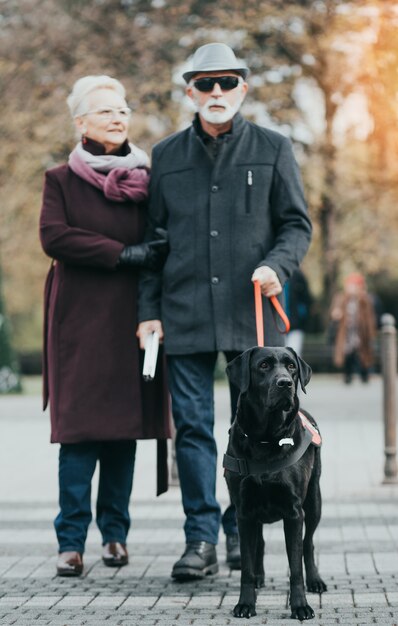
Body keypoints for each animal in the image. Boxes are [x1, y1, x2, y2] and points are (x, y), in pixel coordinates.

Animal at [224, 346, 326, 620]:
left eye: (291, 366)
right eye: (263, 366)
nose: (285, 383)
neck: (265, 439)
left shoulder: (294, 512)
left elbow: (296, 566)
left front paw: (300, 606)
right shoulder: (243, 512)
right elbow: (246, 566)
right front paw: (245, 603)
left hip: (314, 502)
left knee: (309, 543)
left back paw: (316, 581)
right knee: (259, 543)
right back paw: (260, 577)